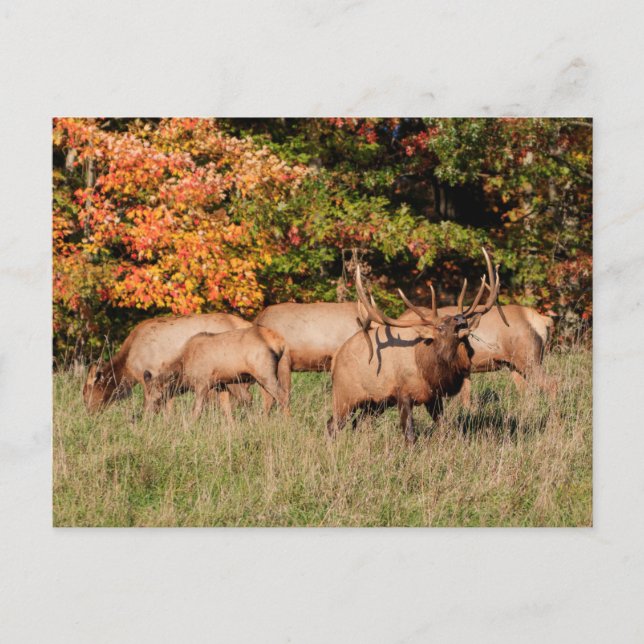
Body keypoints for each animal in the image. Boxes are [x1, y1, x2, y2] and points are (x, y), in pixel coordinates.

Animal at [144, 326, 291, 421]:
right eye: (145, 396)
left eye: (158, 396)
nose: (147, 415)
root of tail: (281, 342)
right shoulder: (222, 384)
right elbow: (228, 408)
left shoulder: (203, 382)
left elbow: (198, 409)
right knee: (270, 398)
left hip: (264, 372)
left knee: (282, 396)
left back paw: (286, 422)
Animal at [327, 248, 501, 444]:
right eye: (440, 327)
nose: (461, 319)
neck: (428, 370)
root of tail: (335, 358)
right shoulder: (403, 394)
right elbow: (410, 434)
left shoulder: (433, 397)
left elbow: (444, 427)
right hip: (344, 395)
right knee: (333, 424)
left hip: (374, 403)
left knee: (358, 423)